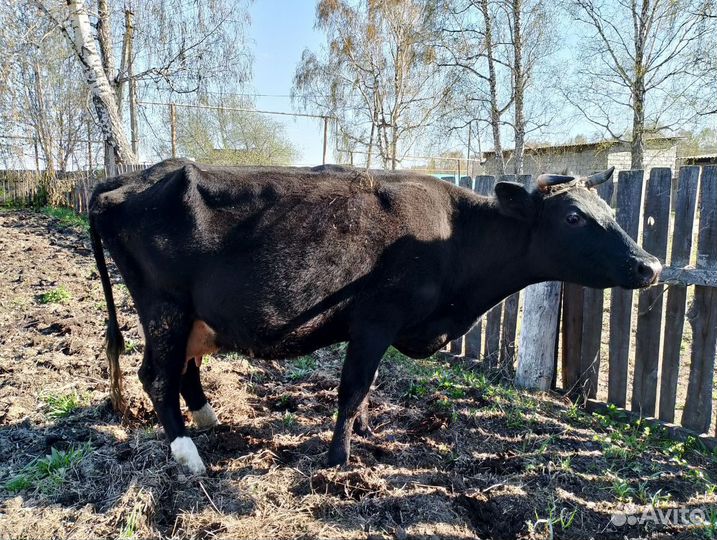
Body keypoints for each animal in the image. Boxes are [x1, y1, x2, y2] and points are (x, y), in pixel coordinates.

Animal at [89, 159, 661, 474]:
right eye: (573, 217)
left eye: (611, 212)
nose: (649, 265)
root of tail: (129, 179)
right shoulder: (375, 320)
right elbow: (354, 386)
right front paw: (339, 458)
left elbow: (368, 388)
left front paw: (363, 434)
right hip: (164, 306)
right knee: (156, 377)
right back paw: (187, 453)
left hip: (192, 318)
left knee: (179, 370)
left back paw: (209, 422)